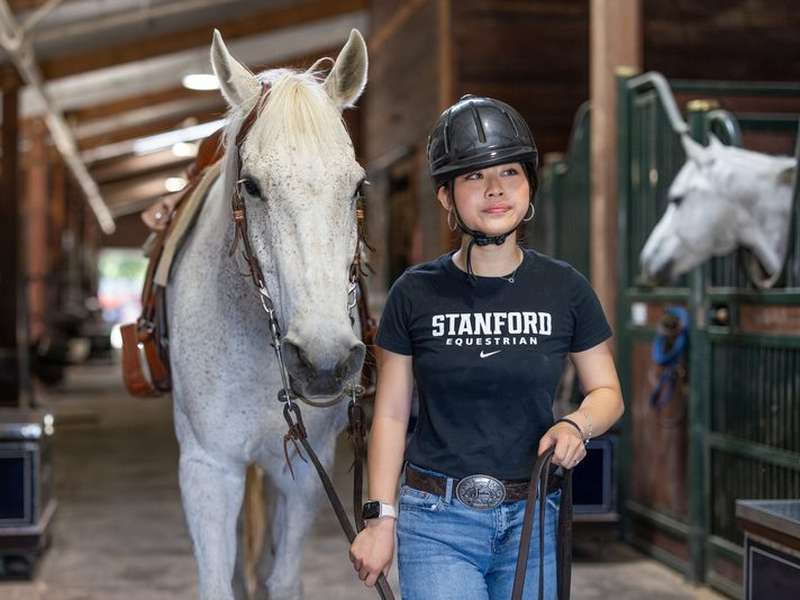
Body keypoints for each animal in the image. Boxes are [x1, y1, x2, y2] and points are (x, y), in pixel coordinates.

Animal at [167, 29, 369, 600]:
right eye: (253, 186)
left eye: (357, 185)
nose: (323, 363)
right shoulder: (209, 469)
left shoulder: (305, 471)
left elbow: (284, 578)